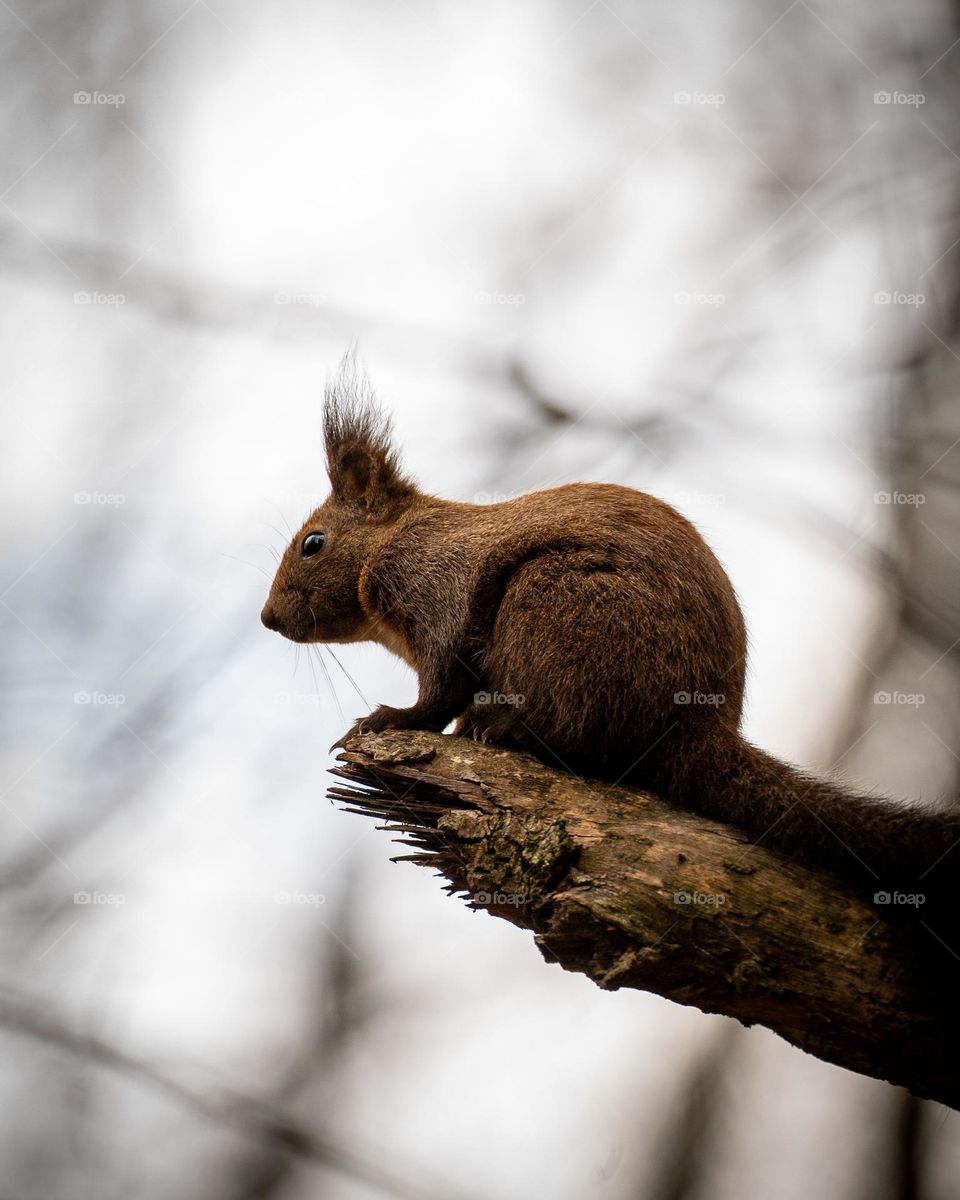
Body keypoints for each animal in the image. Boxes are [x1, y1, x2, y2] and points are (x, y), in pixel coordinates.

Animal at [261, 366, 960, 921]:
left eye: (313, 543)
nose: (267, 619)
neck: (395, 540)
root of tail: (697, 728)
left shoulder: (437, 594)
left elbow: (439, 689)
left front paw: (390, 719)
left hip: (557, 608)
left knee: (573, 732)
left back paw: (504, 729)